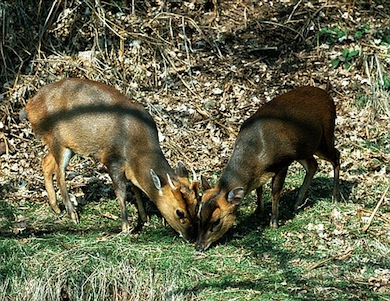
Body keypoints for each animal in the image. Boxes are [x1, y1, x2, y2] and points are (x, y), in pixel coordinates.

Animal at [25, 77, 200, 239]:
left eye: (196, 205)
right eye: (179, 212)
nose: (192, 236)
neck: (137, 143)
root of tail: (29, 106)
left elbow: (137, 188)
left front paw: (145, 218)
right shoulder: (112, 160)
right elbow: (122, 192)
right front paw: (126, 228)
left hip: (68, 144)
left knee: (46, 163)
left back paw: (55, 207)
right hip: (56, 138)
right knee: (59, 172)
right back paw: (72, 214)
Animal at [197, 85, 340, 250]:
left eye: (217, 221)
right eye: (200, 215)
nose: (198, 246)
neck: (257, 152)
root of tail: (328, 96)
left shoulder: (283, 163)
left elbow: (275, 192)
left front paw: (274, 223)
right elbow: (259, 189)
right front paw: (258, 211)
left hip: (324, 137)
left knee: (336, 155)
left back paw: (334, 196)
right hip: (303, 149)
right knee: (313, 165)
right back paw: (297, 203)